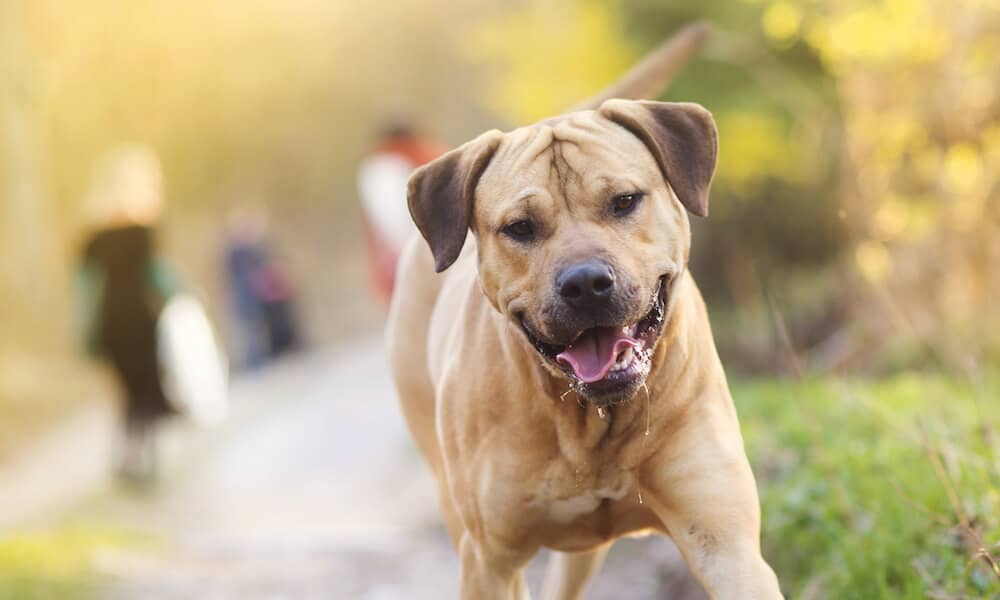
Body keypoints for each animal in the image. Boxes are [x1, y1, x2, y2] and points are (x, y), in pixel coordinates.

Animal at [382, 24, 780, 600]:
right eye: (520, 227)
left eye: (624, 200)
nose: (586, 283)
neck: (591, 423)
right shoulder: (490, 562)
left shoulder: (724, 541)